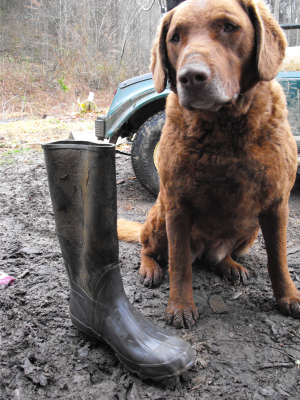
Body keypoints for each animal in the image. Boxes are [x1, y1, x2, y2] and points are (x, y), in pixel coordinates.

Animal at [118, 0, 298, 328]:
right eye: (175, 37)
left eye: (229, 27)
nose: (190, 77)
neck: (225, 130)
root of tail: (204, 251)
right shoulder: (177, 205)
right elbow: (179, 264)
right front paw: (180, 306)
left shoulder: (278, 204)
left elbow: (278, 259)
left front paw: (289, 298)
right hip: (160, 219)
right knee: (149, 248)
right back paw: (150, 268)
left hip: (250, 229)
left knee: (217, 258)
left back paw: (230, 266)